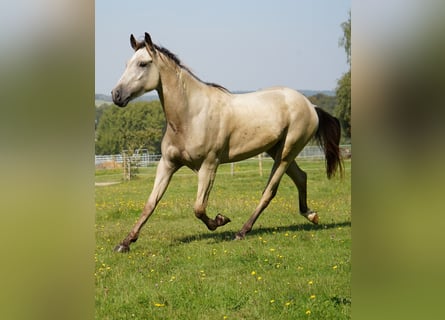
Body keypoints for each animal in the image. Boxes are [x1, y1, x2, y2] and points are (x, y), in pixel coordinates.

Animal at [112, 32, 344, 252]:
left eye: (143, 64)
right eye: (126, 63)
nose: (116, 95)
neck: (191, 114)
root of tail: (311, 106)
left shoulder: (208, 165)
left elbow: (199, 208)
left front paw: (220, 220)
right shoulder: (167, 164)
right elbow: (150, 204)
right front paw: (125, 243)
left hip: (286, 153)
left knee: (269, 191)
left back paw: (242, 231)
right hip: (277, 150)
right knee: (301, 177)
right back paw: (311, 215)